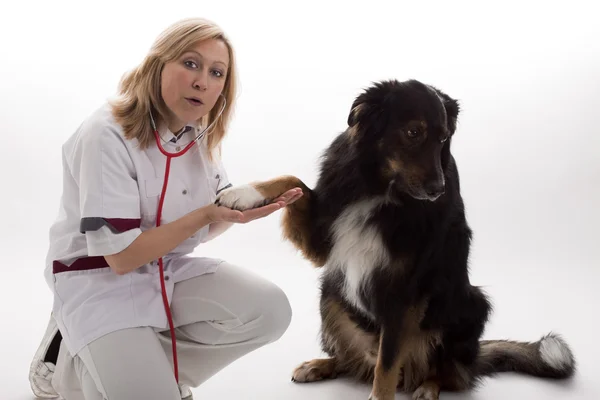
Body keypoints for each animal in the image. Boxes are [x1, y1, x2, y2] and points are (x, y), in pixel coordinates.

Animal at [216, 79, 576, 398]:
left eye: (444, 138)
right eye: (413, 132)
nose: (437, 190)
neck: (381, 191)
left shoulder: (403, 292)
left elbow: (387, 367)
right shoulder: (324, 244)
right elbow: (294, 182)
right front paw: (243, 193)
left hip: (470, 304)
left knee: (446, 373)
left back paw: (427, 388)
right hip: (330, 295)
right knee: (354, 362)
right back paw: (320, 365)